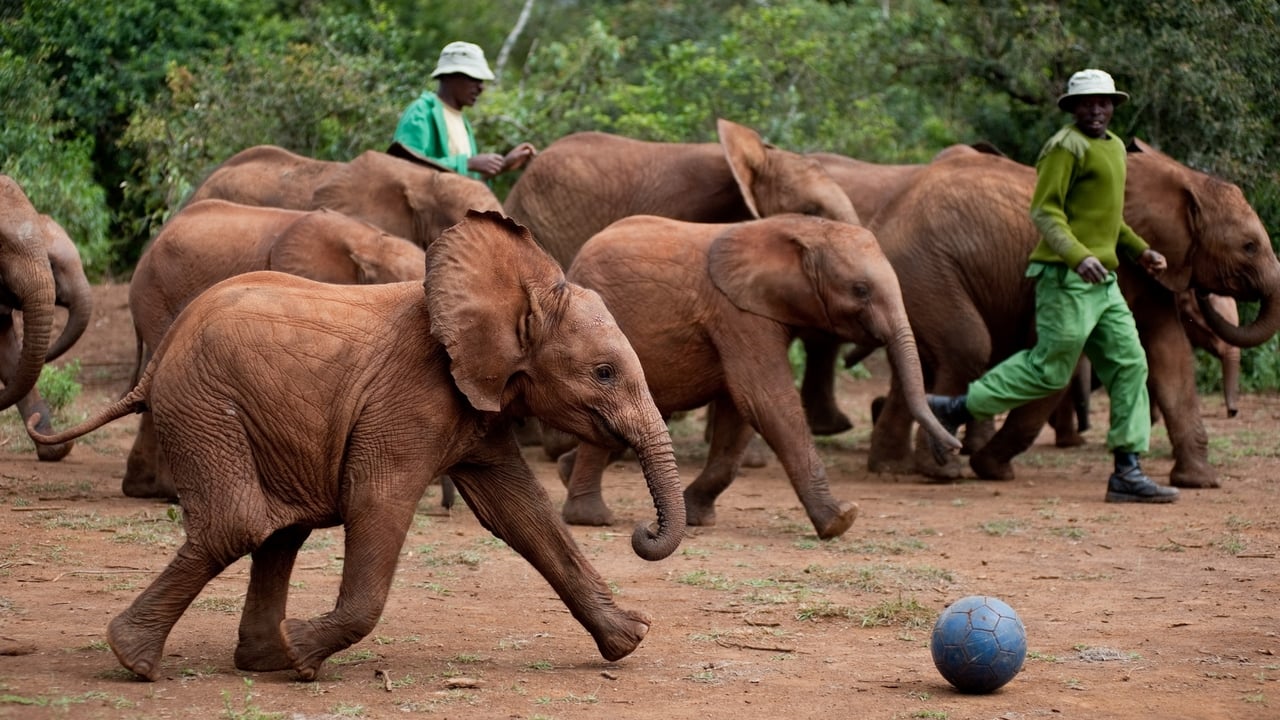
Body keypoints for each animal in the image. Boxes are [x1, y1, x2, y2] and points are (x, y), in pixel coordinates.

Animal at [560, 212, 962, 538]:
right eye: (860, 290)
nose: (953, 449)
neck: (800, 229)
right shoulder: (738, 313)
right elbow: (765, 400)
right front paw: (840, 520)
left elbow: (738, 413)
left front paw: (697, 518)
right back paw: (590, 518)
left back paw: (566, 473)